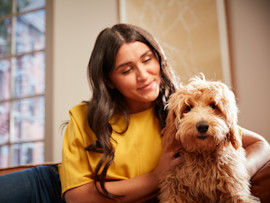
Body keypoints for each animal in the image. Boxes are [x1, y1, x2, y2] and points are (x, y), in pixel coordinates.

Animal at [158, 75, 260, 203]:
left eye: (213, 105)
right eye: (188, 107)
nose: (202, 126)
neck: (202, 154)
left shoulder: (235, 189)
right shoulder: (174, 191)